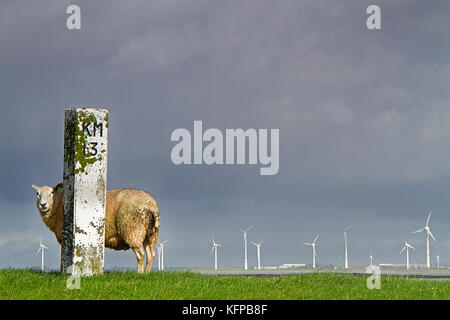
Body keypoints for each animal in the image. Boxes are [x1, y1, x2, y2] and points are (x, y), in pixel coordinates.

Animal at [30, 182, 160, 272]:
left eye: (52, 193)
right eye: (37, 194)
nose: (43, 204)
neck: (58, 206)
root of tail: (150, 203)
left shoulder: (66, 238)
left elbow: (65, 257)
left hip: (133, 230)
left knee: (141, 255)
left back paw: (140, 273)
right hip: (151, 233)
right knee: (151, 255)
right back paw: (147, 273)